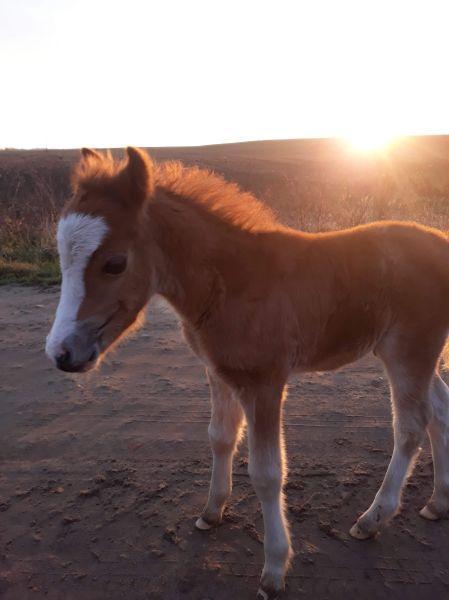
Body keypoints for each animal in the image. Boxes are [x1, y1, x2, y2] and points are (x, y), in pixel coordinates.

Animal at [46, 148, 449, 596]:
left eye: (115, 263)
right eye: (62, 257)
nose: (62, 353)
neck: (234, 282)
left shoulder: (266, 383)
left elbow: (267, 472)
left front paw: (274, 568)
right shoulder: (219, 372)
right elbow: (220, 438)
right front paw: (211, 511)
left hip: (408, 351)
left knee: (411, 427)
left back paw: (372, 519)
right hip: (416, 354)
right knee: (439, 412)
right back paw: (437, 504)